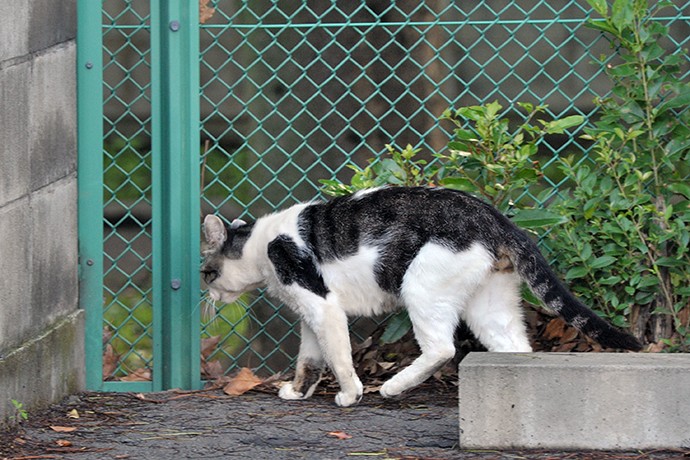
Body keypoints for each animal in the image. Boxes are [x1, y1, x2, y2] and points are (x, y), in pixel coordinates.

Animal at [200, 186, 640, 406]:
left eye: (206, 272)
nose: (206, 292)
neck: (262, 244)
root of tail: (498, 220)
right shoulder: (311, 315)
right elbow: (309, 359)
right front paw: (298, 391)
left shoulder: (322, 305)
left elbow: (339, 358)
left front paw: (349, 395)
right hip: (489, 306)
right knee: (516, 348)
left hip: (422, 287)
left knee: (442, 348)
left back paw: (393, 387)